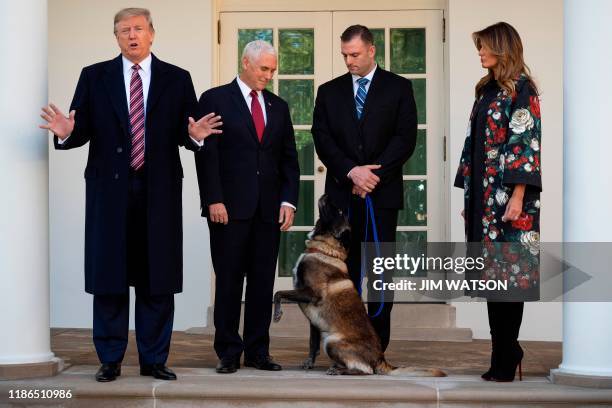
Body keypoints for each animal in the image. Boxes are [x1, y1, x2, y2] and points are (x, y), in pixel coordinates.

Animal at [274, 194, 448, 376]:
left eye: (339, 211)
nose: (327, 195)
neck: (324, 250)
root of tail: (381, 358)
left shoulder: (311, 293)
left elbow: (278, 293)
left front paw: (277, 314)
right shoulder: (313, 319)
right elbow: (312, 343)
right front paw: (309, 363)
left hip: (331, 341)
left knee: (366, 370)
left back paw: (338, 370)